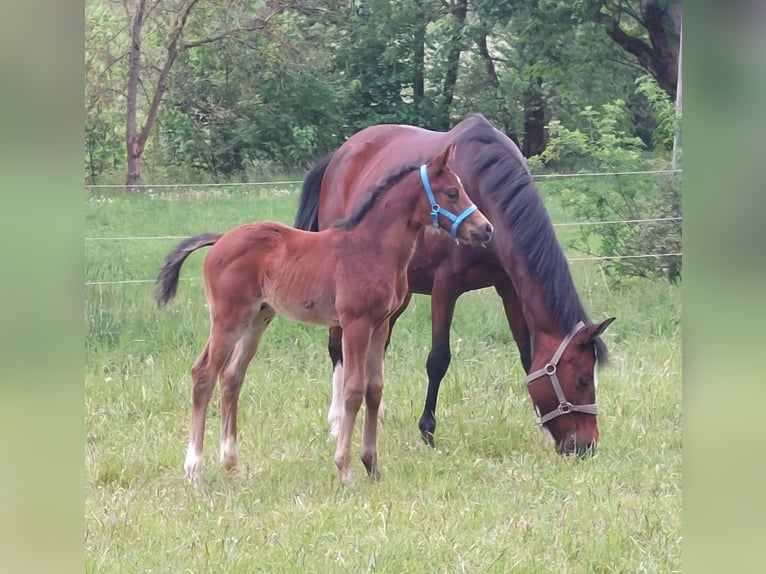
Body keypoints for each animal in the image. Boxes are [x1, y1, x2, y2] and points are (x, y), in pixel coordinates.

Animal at [155, 144, 493, 485]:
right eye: (452, 192)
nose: (485, 229)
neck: (371, 248)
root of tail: (221, 238)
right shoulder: (355, 323)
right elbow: (353, 390)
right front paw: (345, 469)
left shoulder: (380, 324)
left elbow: (374, 389)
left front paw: (372, 465)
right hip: (227, 318)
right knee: (204, 374)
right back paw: (195, 468)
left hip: (257, 319)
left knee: (232, 376)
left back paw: (231, 463)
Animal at [294, 113, 615, 456]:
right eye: (582, 381)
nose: (586, 445)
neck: (484, 187)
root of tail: (340, 154)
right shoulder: (445, 287)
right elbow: (438, 359)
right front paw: (427, 431)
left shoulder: (508, 288)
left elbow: (527, 355)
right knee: (337, 345)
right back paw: (338, 420)